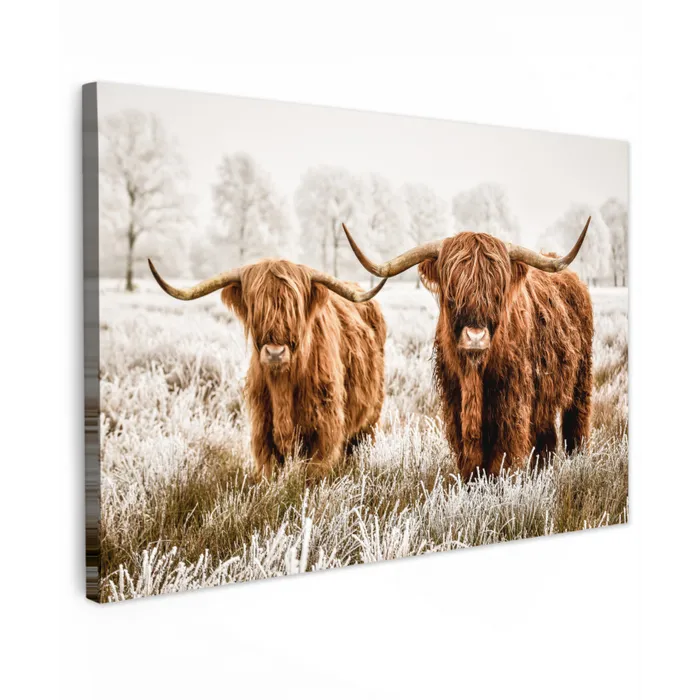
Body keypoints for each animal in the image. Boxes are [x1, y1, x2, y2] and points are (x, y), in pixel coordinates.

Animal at [148, 258, 388, 481]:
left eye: (294, 308)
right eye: (256, 306)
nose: (275, 353)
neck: (283, 386)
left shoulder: (325, 431)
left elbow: (314, 475)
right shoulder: (262, 432)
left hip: (370, 420)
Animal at [342, 218, 594, 481]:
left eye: (497, 292)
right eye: (452, 292)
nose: (475, 337)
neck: (474, 372)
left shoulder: (512, 402)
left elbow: (502, 452)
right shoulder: (454, 400)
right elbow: (468, 452)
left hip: (581, 379)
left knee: (576, 423)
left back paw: (576, 461)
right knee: (546, 435)